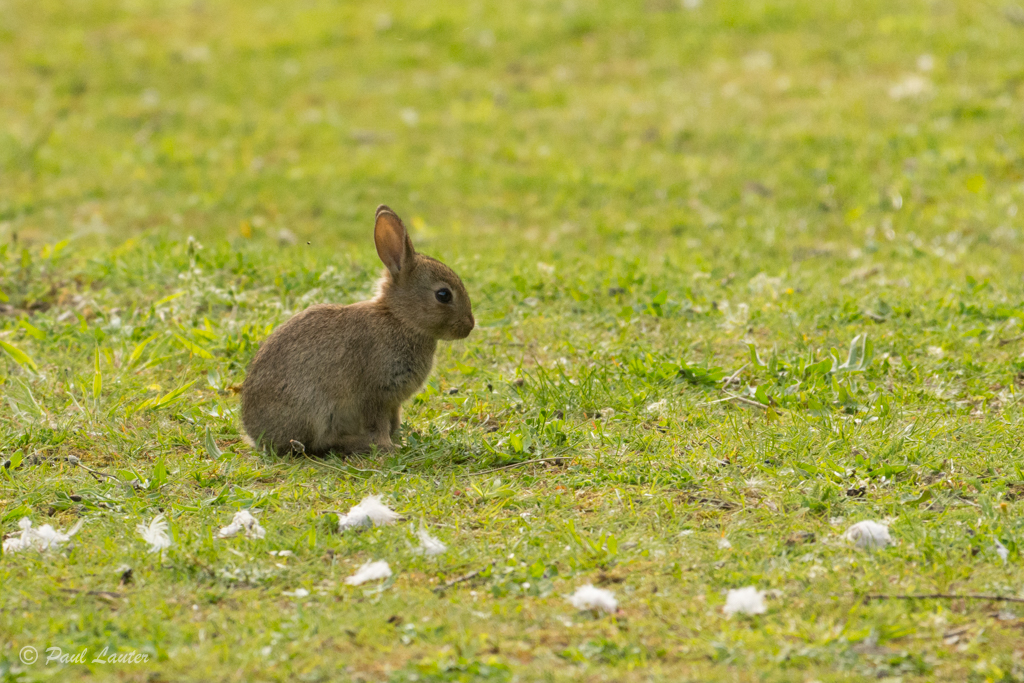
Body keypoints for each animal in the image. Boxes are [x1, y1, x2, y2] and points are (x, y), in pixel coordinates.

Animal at [240, 205, 474, 455]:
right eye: (443, 295)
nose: (469, 326)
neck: (399, 319)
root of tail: (254, 434)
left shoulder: (393, 402)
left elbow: (394, 420)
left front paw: (402, 437)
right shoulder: (374, 394)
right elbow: (378, 424)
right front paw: (389, 447)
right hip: (315, 413)